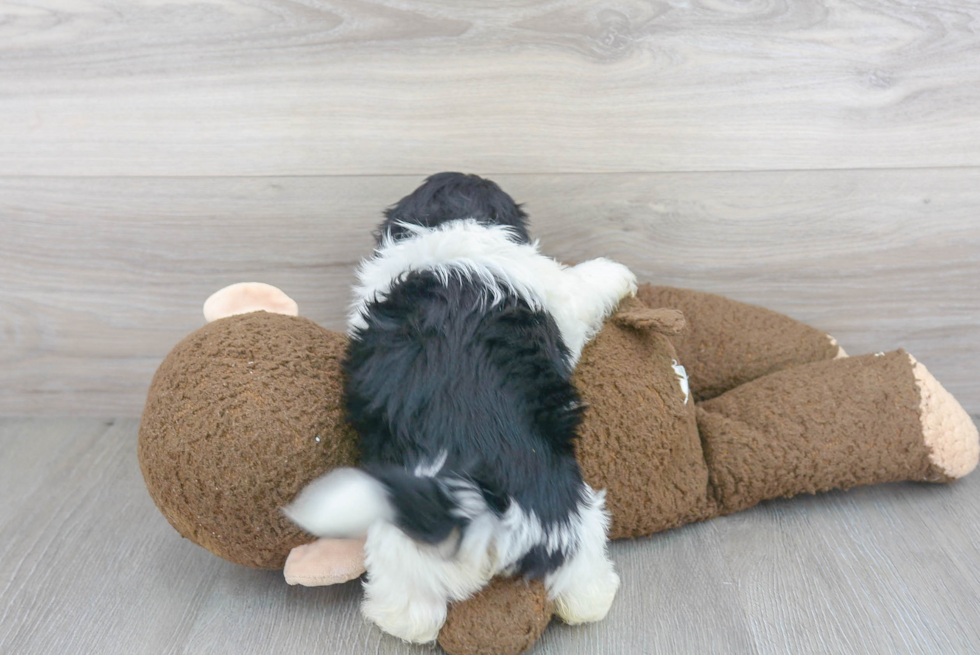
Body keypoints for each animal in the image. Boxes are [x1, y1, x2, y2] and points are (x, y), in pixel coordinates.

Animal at [284, 172, 636, 644]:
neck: (451, 227)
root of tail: (479, 511)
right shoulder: (558, 296)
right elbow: (583, 285)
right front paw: (618, 273)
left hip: (406, 539)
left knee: (415, 607)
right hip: (570, 512)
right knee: (582, 573)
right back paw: (596, 596)